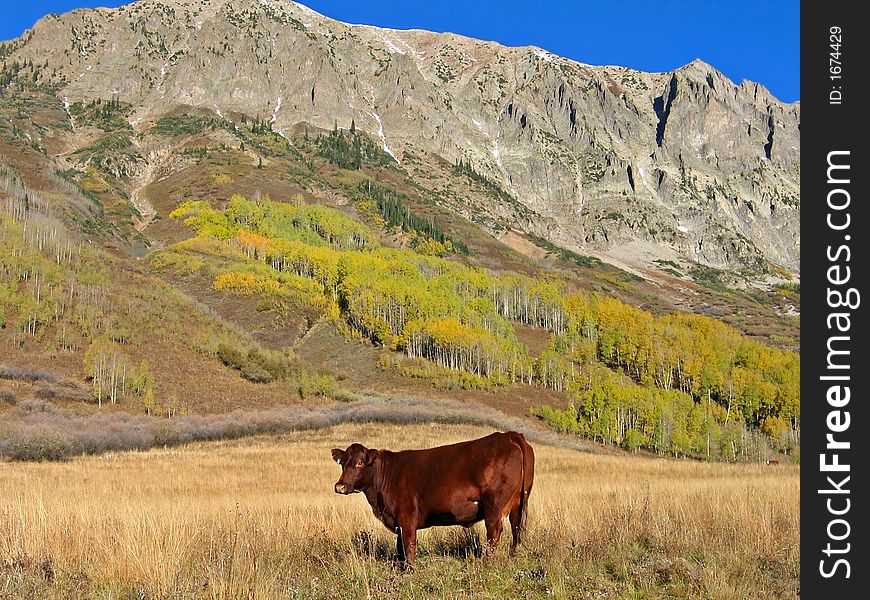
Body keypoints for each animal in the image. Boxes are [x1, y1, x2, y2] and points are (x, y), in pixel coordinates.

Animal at [334, 428, 536, 564]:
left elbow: (408, 545)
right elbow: (399, 548)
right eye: (342, 463)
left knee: (494, 532)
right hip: (517, 502)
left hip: (493, 504)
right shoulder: (398, 522)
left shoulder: (406, 517)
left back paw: (486, 563)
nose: (340, 486)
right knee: (516, 529)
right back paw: (512, 557)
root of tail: (508, 435)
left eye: (360, 463)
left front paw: (410, 570)